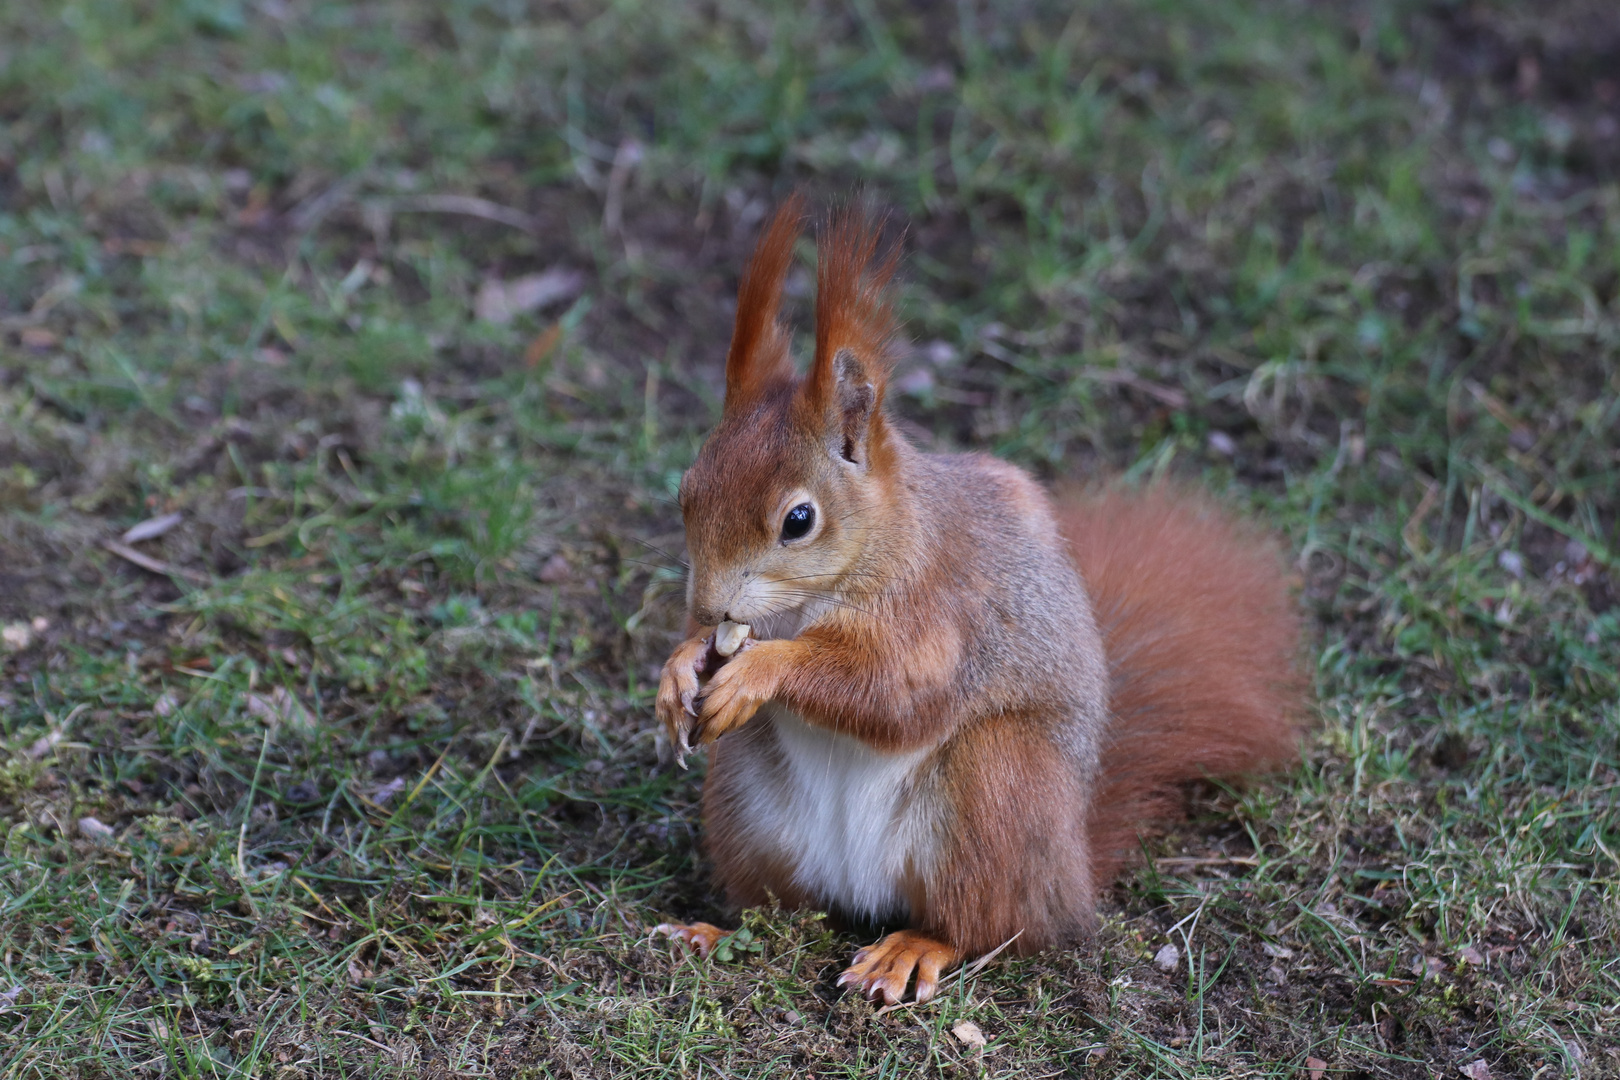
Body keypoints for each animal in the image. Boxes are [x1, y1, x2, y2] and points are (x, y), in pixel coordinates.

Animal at [651, 196, 1296, 1003]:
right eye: (687, 489)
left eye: (798, 520)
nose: (711, 609)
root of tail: (1072, 870)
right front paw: (679, 668)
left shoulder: (942, 611)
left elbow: (891, 689)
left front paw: (761, 671)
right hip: (746, 812)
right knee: (779, 911)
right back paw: (709, 931)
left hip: (997, 791)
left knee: (990, 925)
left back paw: (910, 950)